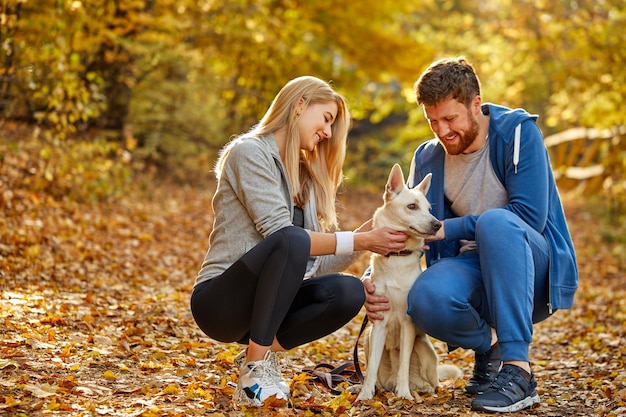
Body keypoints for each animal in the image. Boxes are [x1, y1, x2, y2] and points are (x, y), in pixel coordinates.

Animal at [354, 162, 460, 400]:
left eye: (429, 209)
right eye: (412, 206)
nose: (437, 225)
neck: (397, 257)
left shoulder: (407, 324)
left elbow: (403, 363)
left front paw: (404, 394)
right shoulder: (379, 324)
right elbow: (371, 368)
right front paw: (365, 395)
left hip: (425, 349)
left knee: (433, 380)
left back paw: (420, 389)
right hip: (368, 338)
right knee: (375, 374)